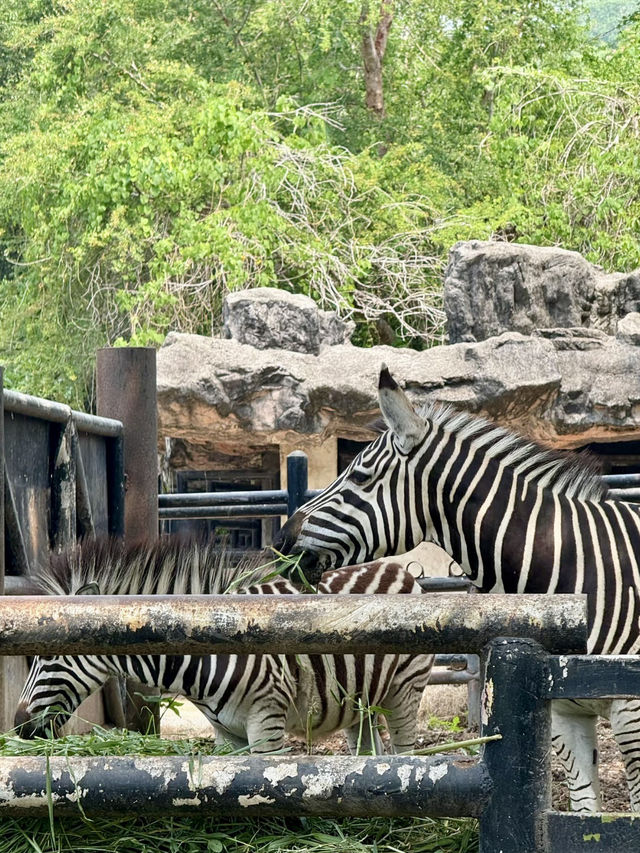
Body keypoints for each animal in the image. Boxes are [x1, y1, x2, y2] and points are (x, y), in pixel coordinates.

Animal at [14, 536, 433, 755]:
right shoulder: (227, 735)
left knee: (405, 753)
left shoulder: (267, 723)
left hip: (405, 689)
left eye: (48, 657)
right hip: (360, 700)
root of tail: (397, 567)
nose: (18, 727)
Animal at [275, 365, 640, 812]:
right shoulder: (565, 715)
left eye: (359, 476)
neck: (579, 576)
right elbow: (586, 809)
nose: (281, 541)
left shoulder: (632, 714)